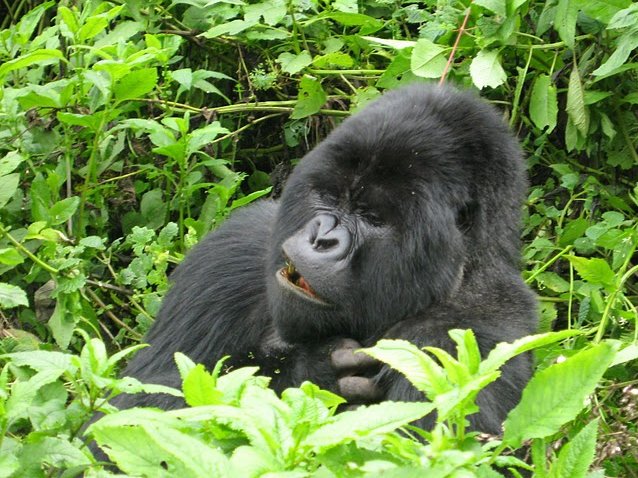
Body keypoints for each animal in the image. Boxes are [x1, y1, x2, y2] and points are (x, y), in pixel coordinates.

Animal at [112, 84, 536, 436]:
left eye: (372, 217)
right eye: (330, 197)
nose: (321, 238)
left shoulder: (465, 343)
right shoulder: (230, 252)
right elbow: (136, 403)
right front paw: (312, 370)